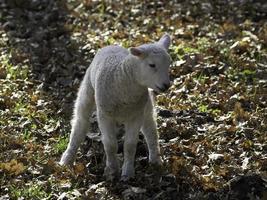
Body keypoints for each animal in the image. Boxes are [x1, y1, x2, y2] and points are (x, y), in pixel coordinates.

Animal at [60, 33, 173, 180]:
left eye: (169, 63)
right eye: (152, 65)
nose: (166, 85)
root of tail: (111, 45)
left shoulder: (135, 115)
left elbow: (130, 145)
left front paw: (127, 173)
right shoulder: (105, 115)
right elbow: (110, 144)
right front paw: (112, 169)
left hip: (146, 106)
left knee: (151, 130)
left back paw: (155, 160)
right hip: (87, 91)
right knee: (80, 123)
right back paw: (67, 159)